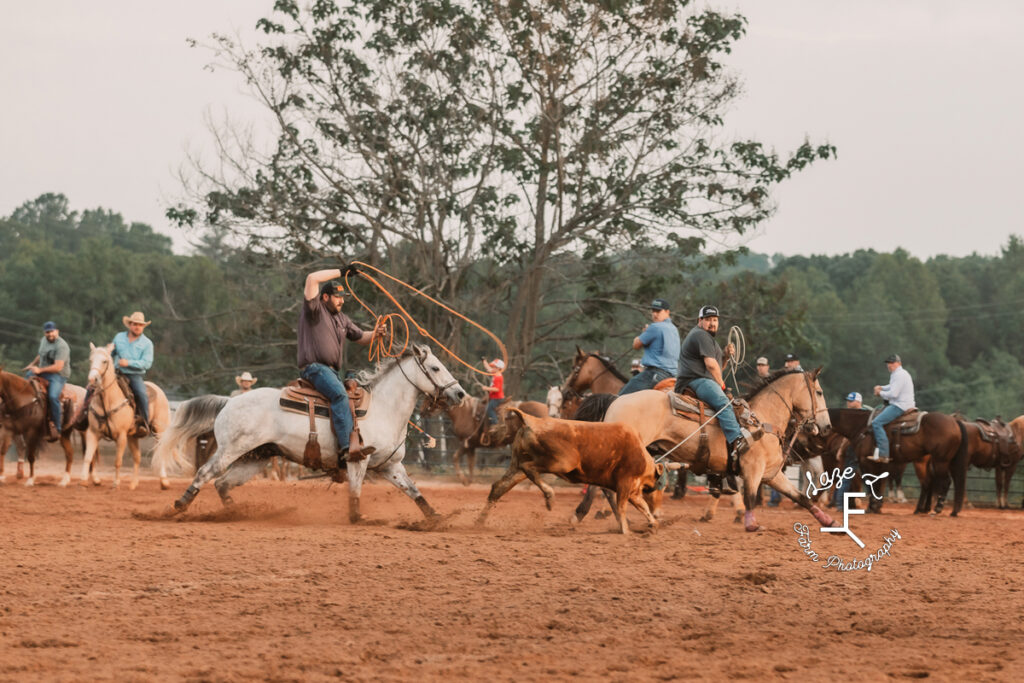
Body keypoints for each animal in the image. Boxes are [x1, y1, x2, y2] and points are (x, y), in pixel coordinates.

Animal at [79, 344, 171, 489]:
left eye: (104, 361)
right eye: (90, 360)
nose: (93, 379)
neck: (108, 401)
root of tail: (159, 390)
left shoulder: (121, 436)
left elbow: (117, 461)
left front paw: (116, 483)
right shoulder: (93, 433)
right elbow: (88, 457)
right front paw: (83, 481)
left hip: (159, 430)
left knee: (160, 452)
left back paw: (164, 482)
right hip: (133, 436)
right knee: (137, 457)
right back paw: (133, 484)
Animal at [160, 344, 468, 528]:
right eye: (436, 367)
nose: (460, 394)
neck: (383, 407)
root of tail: (229, 401)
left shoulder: (390, 465)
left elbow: (414, 491)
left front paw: (437, 517)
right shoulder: (358, 461)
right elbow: (355, 491)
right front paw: (358, 518)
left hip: (256, 457)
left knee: (223, 483)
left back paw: (235, 513)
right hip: (230, 449)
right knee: (205, 473)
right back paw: (177, 507)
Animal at [417, 395, 548, 485]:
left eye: (428, 397)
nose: (421, 411)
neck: (463, 412)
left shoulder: (467, 443)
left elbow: (455, 457)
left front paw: (463, 480)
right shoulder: (471, 446)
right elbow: (471, 463)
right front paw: (469, 480)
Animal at [475, 405, 659, 532]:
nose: (658, 511)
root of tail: (531, 420)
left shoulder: (633, 490)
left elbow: (642, 506)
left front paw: (653, 523)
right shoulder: (625, 484)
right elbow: (622, 507)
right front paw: (625, 530)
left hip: (517, 464)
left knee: (499, 487)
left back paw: (479, 521)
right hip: (562, 462)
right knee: (529, 468)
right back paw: (549, 496)